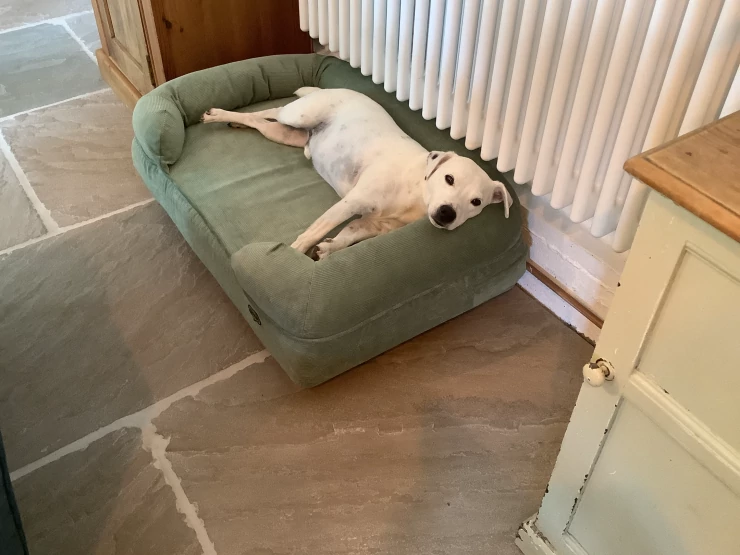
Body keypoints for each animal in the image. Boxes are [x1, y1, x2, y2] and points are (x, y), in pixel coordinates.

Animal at [201, 87, 512, 259]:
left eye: (476, 202)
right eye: (449, 179)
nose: (448, 213)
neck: (415, 194)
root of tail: (332, 87)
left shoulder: (369, 225)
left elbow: (347, 236)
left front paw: (329, 249)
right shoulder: (350, 204)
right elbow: (314, 232)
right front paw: (294, 253)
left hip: (285, 134)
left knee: (259, 121)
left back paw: (237, 123)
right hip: (298, 115)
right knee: (269, 110)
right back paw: (218, 114)